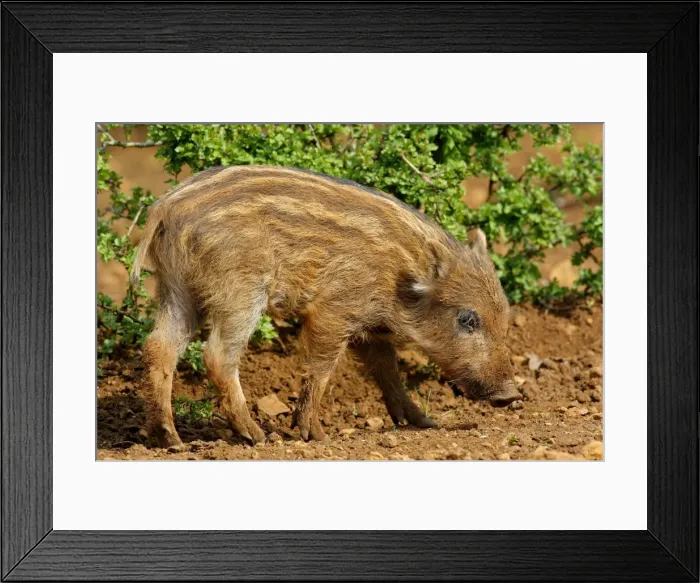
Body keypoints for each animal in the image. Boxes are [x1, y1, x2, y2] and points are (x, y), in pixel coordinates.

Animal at [131, 165, 520, 449]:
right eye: (467, 319)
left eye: (505, 319)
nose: (512, 395)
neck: (401, 277)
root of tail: (166, 207)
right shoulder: (333, 310)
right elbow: (322, 367)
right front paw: (316, 435)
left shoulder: (373, 328)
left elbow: (387, 370)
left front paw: (423, 423)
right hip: (239, 291)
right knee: (216, 356)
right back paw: (258, 436)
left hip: (177, 289)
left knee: (158, 347)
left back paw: (169, 439)